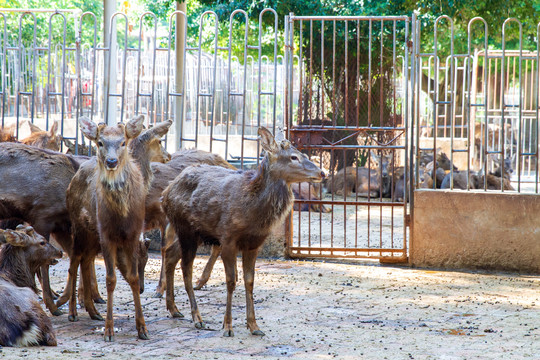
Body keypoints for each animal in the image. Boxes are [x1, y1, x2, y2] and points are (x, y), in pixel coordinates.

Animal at [161, 127, 324, 338]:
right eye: (293, 157)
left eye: (304, 154)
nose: (321, 172)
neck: (252, 212)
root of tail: (165, 193)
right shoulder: (227, 238)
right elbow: (231, 281)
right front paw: (228, 326)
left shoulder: (254, 244)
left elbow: (249, 281)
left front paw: (254, 326)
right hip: (185, 228)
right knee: (185, 267)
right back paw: (197, 318)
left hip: (195, 233)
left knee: (171, 254)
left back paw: (174, 309)